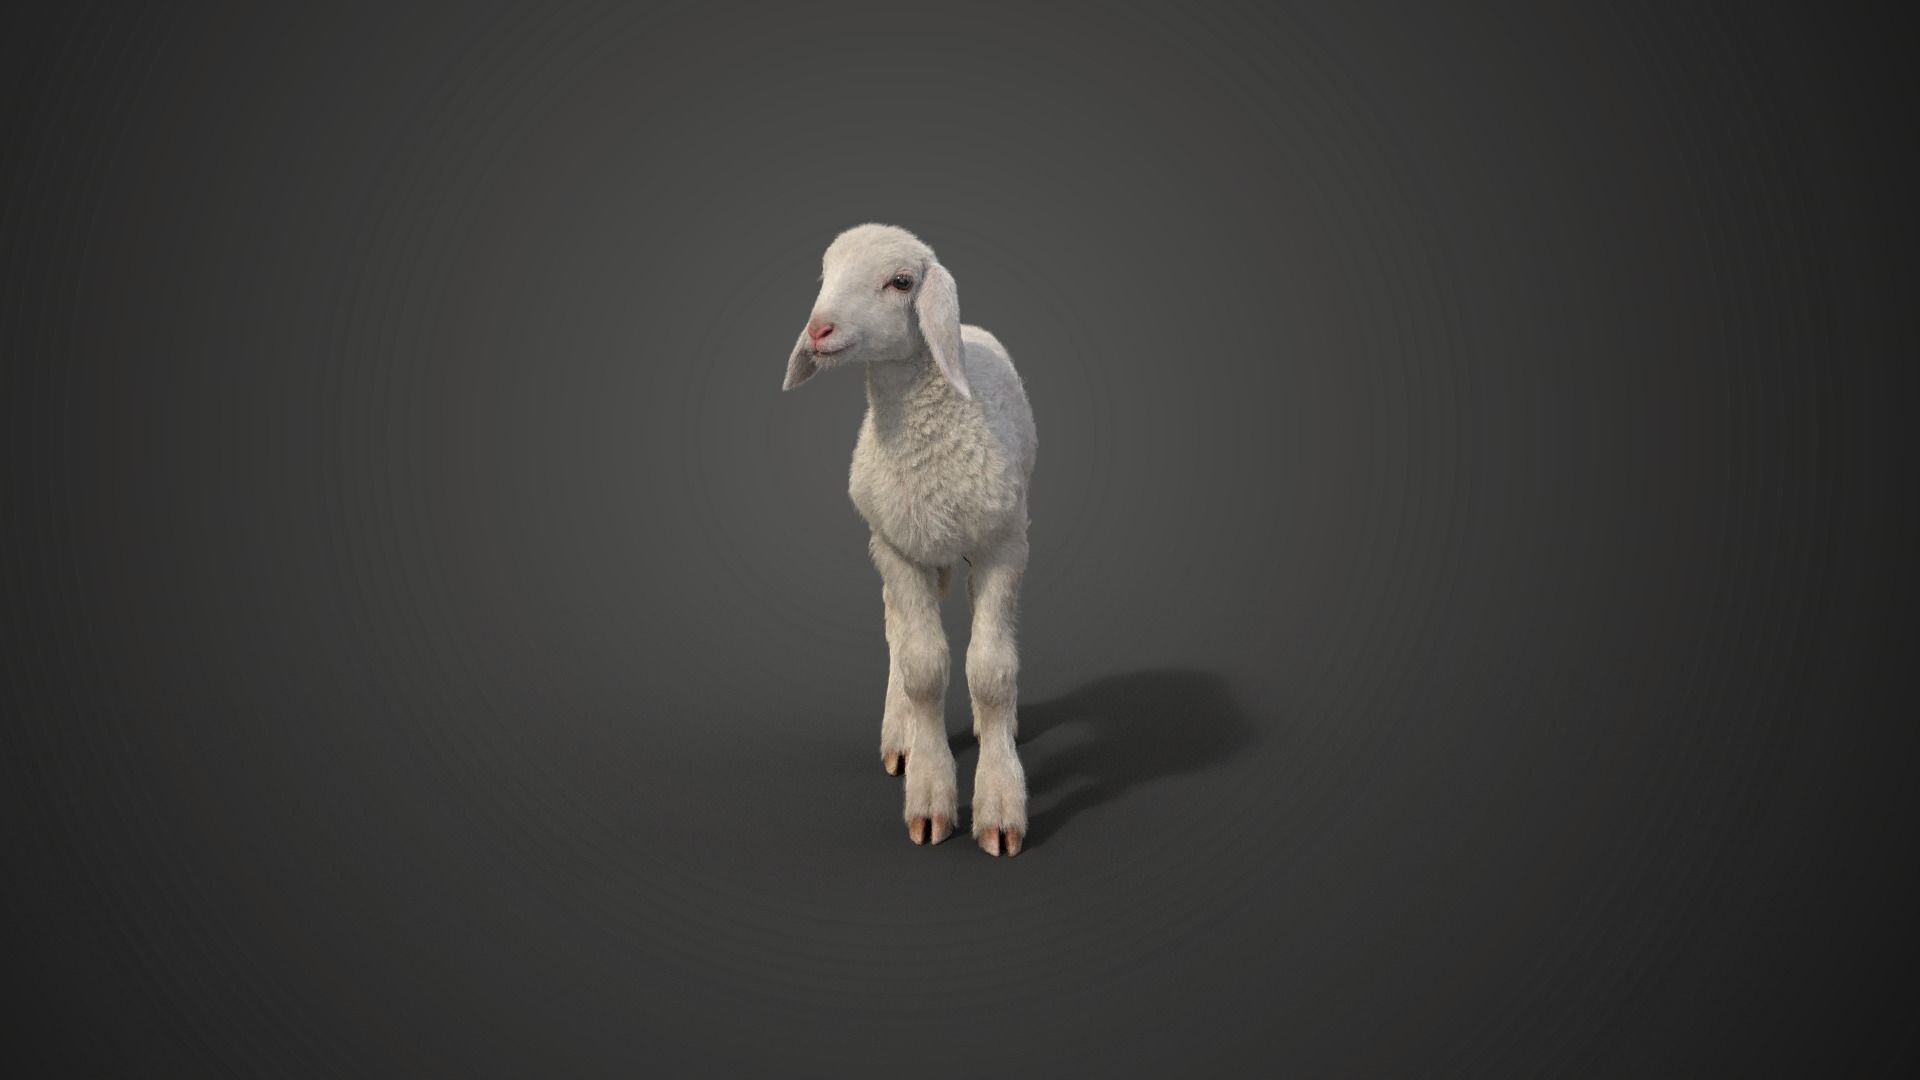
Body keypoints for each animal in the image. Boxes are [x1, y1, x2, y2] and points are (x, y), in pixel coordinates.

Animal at [782, 223, 1038, 856]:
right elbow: (923, 669)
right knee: (897, 631)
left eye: (901, 281)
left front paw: (1001, 804)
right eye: (826, 274)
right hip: (889, 539)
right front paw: (929, 795)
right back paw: (900, 734)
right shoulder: (898, 550)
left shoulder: (1002, 546)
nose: (817, 329)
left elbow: (992, 672)